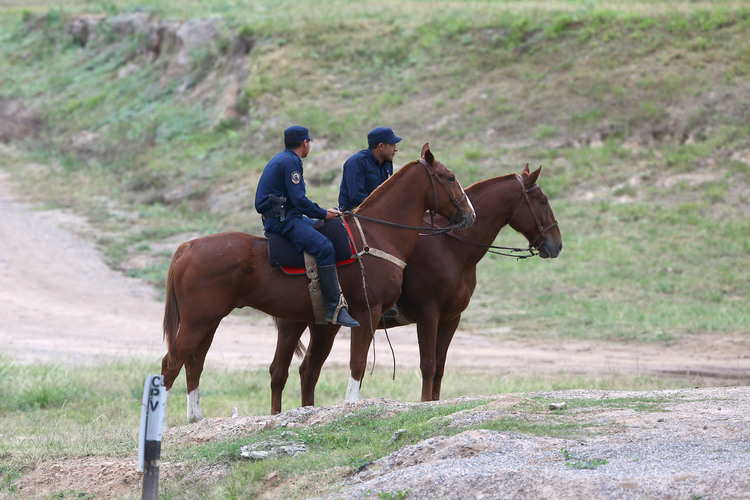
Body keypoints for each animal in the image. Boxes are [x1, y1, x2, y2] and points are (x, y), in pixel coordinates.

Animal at [162, 144, 476, 422]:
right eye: (450, 177)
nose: (470, 215)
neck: (377, 234)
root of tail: (189, 246)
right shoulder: (369, 312)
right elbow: (358, 363)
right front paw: (352, 404)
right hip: (197, 322)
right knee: (172, 364)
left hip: (211, 322)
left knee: (195, 363)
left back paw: (196, 417)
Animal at [272, 164, 564, 414]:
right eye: (543, 201)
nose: (557, 244)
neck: (451, 247)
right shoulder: (428, 316)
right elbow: (428, 365)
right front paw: (425, 402)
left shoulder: (450, 319)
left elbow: (440, 367)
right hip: (293, 324)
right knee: (281, 372)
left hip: (324, 326)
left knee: (308, 371)